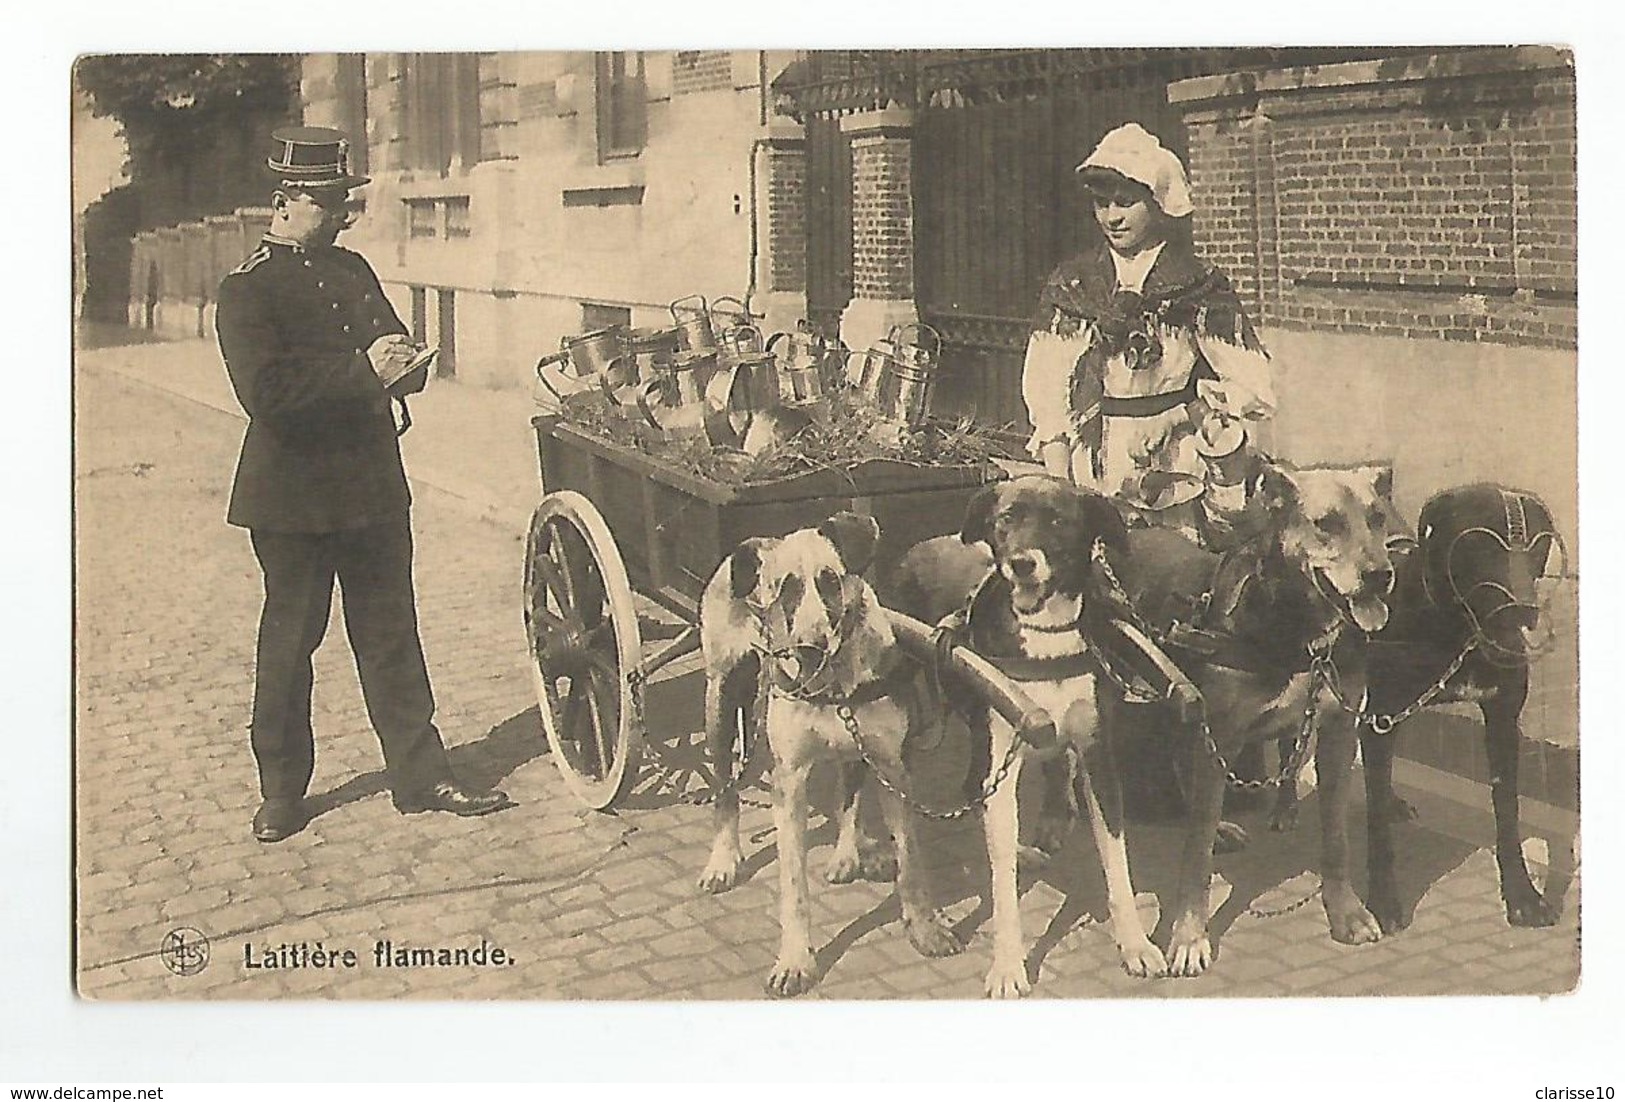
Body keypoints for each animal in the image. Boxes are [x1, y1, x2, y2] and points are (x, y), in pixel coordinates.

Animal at [698, 516, 962, 1001]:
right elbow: (793, 886)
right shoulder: (789, 781)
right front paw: (795, 960)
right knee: (725, 790)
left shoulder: (893, 767)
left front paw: (924, 929)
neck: (832, 681)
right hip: (720, 700)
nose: (810, 647)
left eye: (829, 581)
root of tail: (753, 542)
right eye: (785, 589)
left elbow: (912, 861)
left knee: (849, 789)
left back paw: (849, 853)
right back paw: (723, 861)